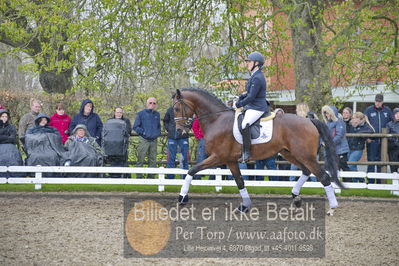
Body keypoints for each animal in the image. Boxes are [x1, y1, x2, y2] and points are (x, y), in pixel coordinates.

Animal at [172, 88, 344, 215]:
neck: (217, 119)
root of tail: (309, 120)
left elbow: (192, 170)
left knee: (323, 176)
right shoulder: (230, 160)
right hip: (290, 153)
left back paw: (332, 208)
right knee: (306, 171)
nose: (179, 131)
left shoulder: (218, 157)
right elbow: (239, 181)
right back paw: (296, 198)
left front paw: (182, 198)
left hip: (305, 155)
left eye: (176, 108)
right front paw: (245, 206)